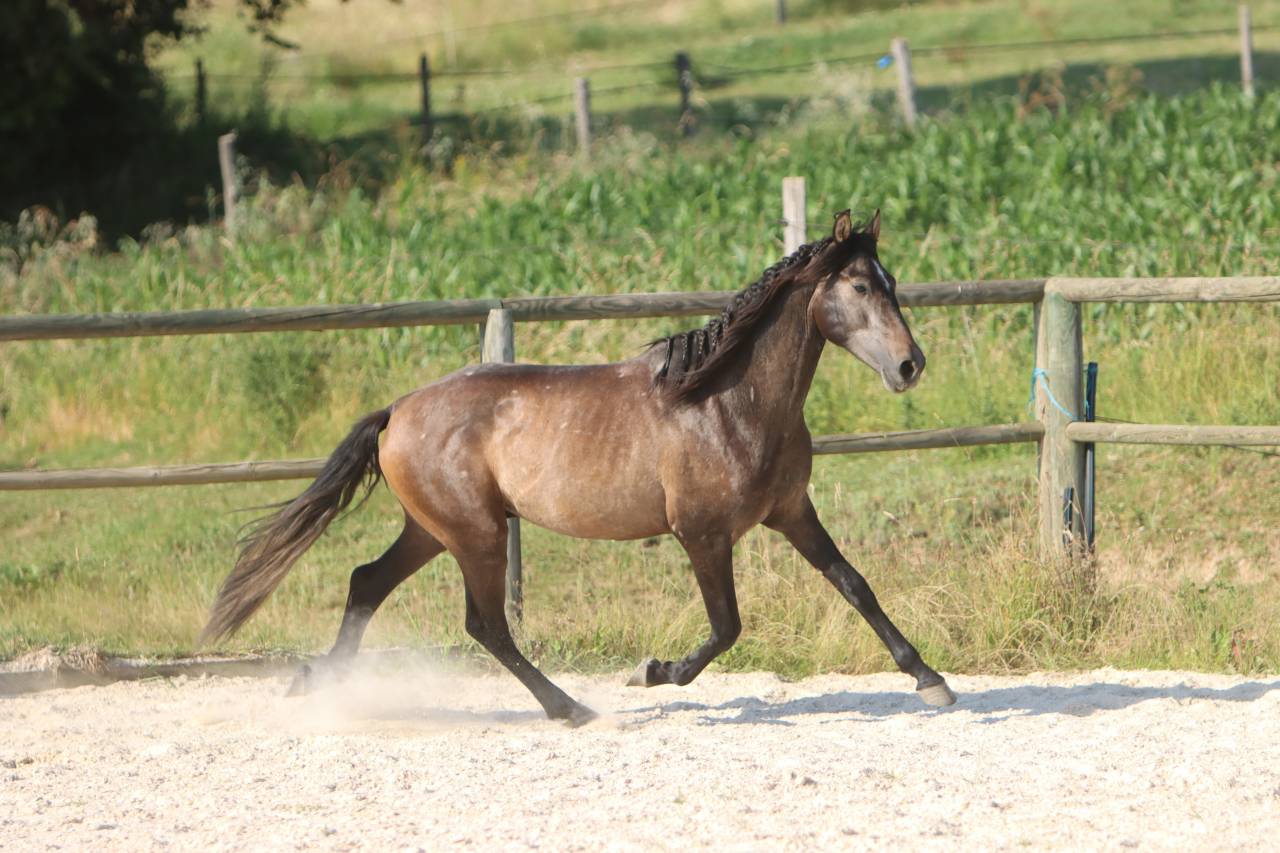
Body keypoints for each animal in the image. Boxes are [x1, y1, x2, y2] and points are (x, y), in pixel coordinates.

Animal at [200, 209, 956, 726]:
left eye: (891, 282)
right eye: (858, 286)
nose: (910, 365)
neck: (726, 401)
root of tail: (398, 410)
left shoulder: (792, 512)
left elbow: (856, 585)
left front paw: (930, 678)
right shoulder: (702, 534)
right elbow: (727, 627)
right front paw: (650, 672)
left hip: (436, 529)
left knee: (367, 582)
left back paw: (320, 684)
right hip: (475, 534)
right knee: (485, 625)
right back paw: (571, 708)